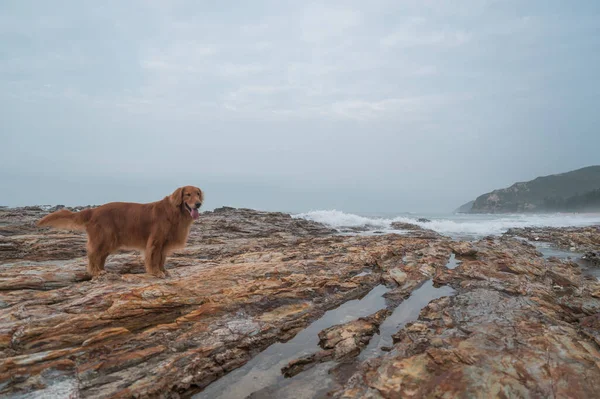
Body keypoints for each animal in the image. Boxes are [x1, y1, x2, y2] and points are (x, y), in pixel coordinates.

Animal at [37, 187, 203, 278]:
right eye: (188, 194)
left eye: (198, 193)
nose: (198, 204)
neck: (174, 212)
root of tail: (94, 210)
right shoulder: (155, 241)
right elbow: (153, 259)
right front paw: (156, 272)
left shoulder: (164, 244)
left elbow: (161, 259)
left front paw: (163, 271)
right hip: (103, 238)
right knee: (93, 255)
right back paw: (96, 272)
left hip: (109, 241)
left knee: (100, 257)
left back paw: (102, 270)